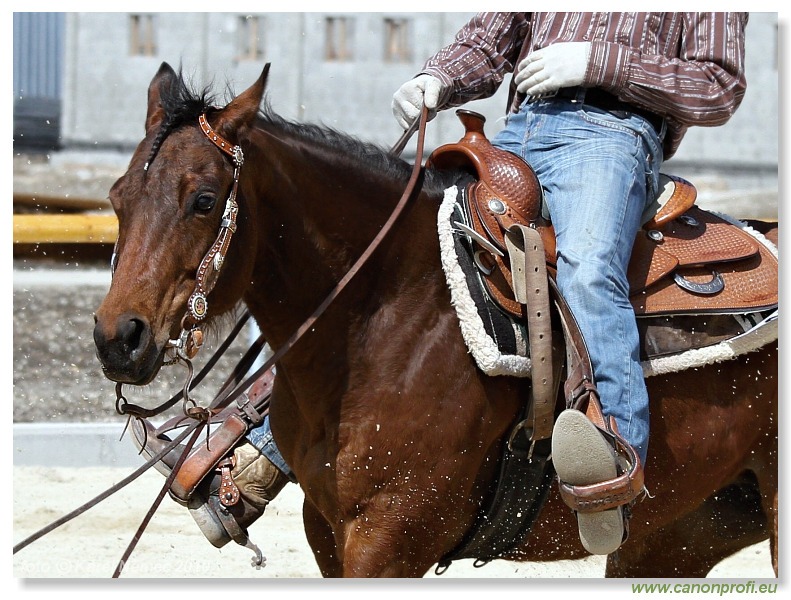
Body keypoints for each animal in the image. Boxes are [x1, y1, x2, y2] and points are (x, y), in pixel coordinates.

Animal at [93, 63, 780, 580]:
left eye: (204, 200)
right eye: (117, 197)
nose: (118, 338)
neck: (387, 311)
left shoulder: (390, 539)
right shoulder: (329, 533)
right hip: (680, 534)